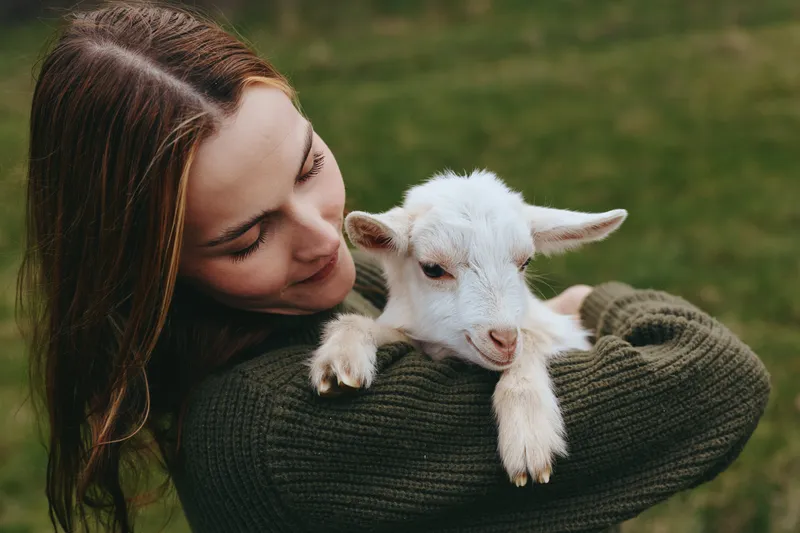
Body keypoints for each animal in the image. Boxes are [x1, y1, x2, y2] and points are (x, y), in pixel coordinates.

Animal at [309, 169, 627, 486]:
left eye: (526, 262)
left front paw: (528, 437)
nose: (505, 340)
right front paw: (340, 360)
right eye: (433, 269)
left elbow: (532, 342)